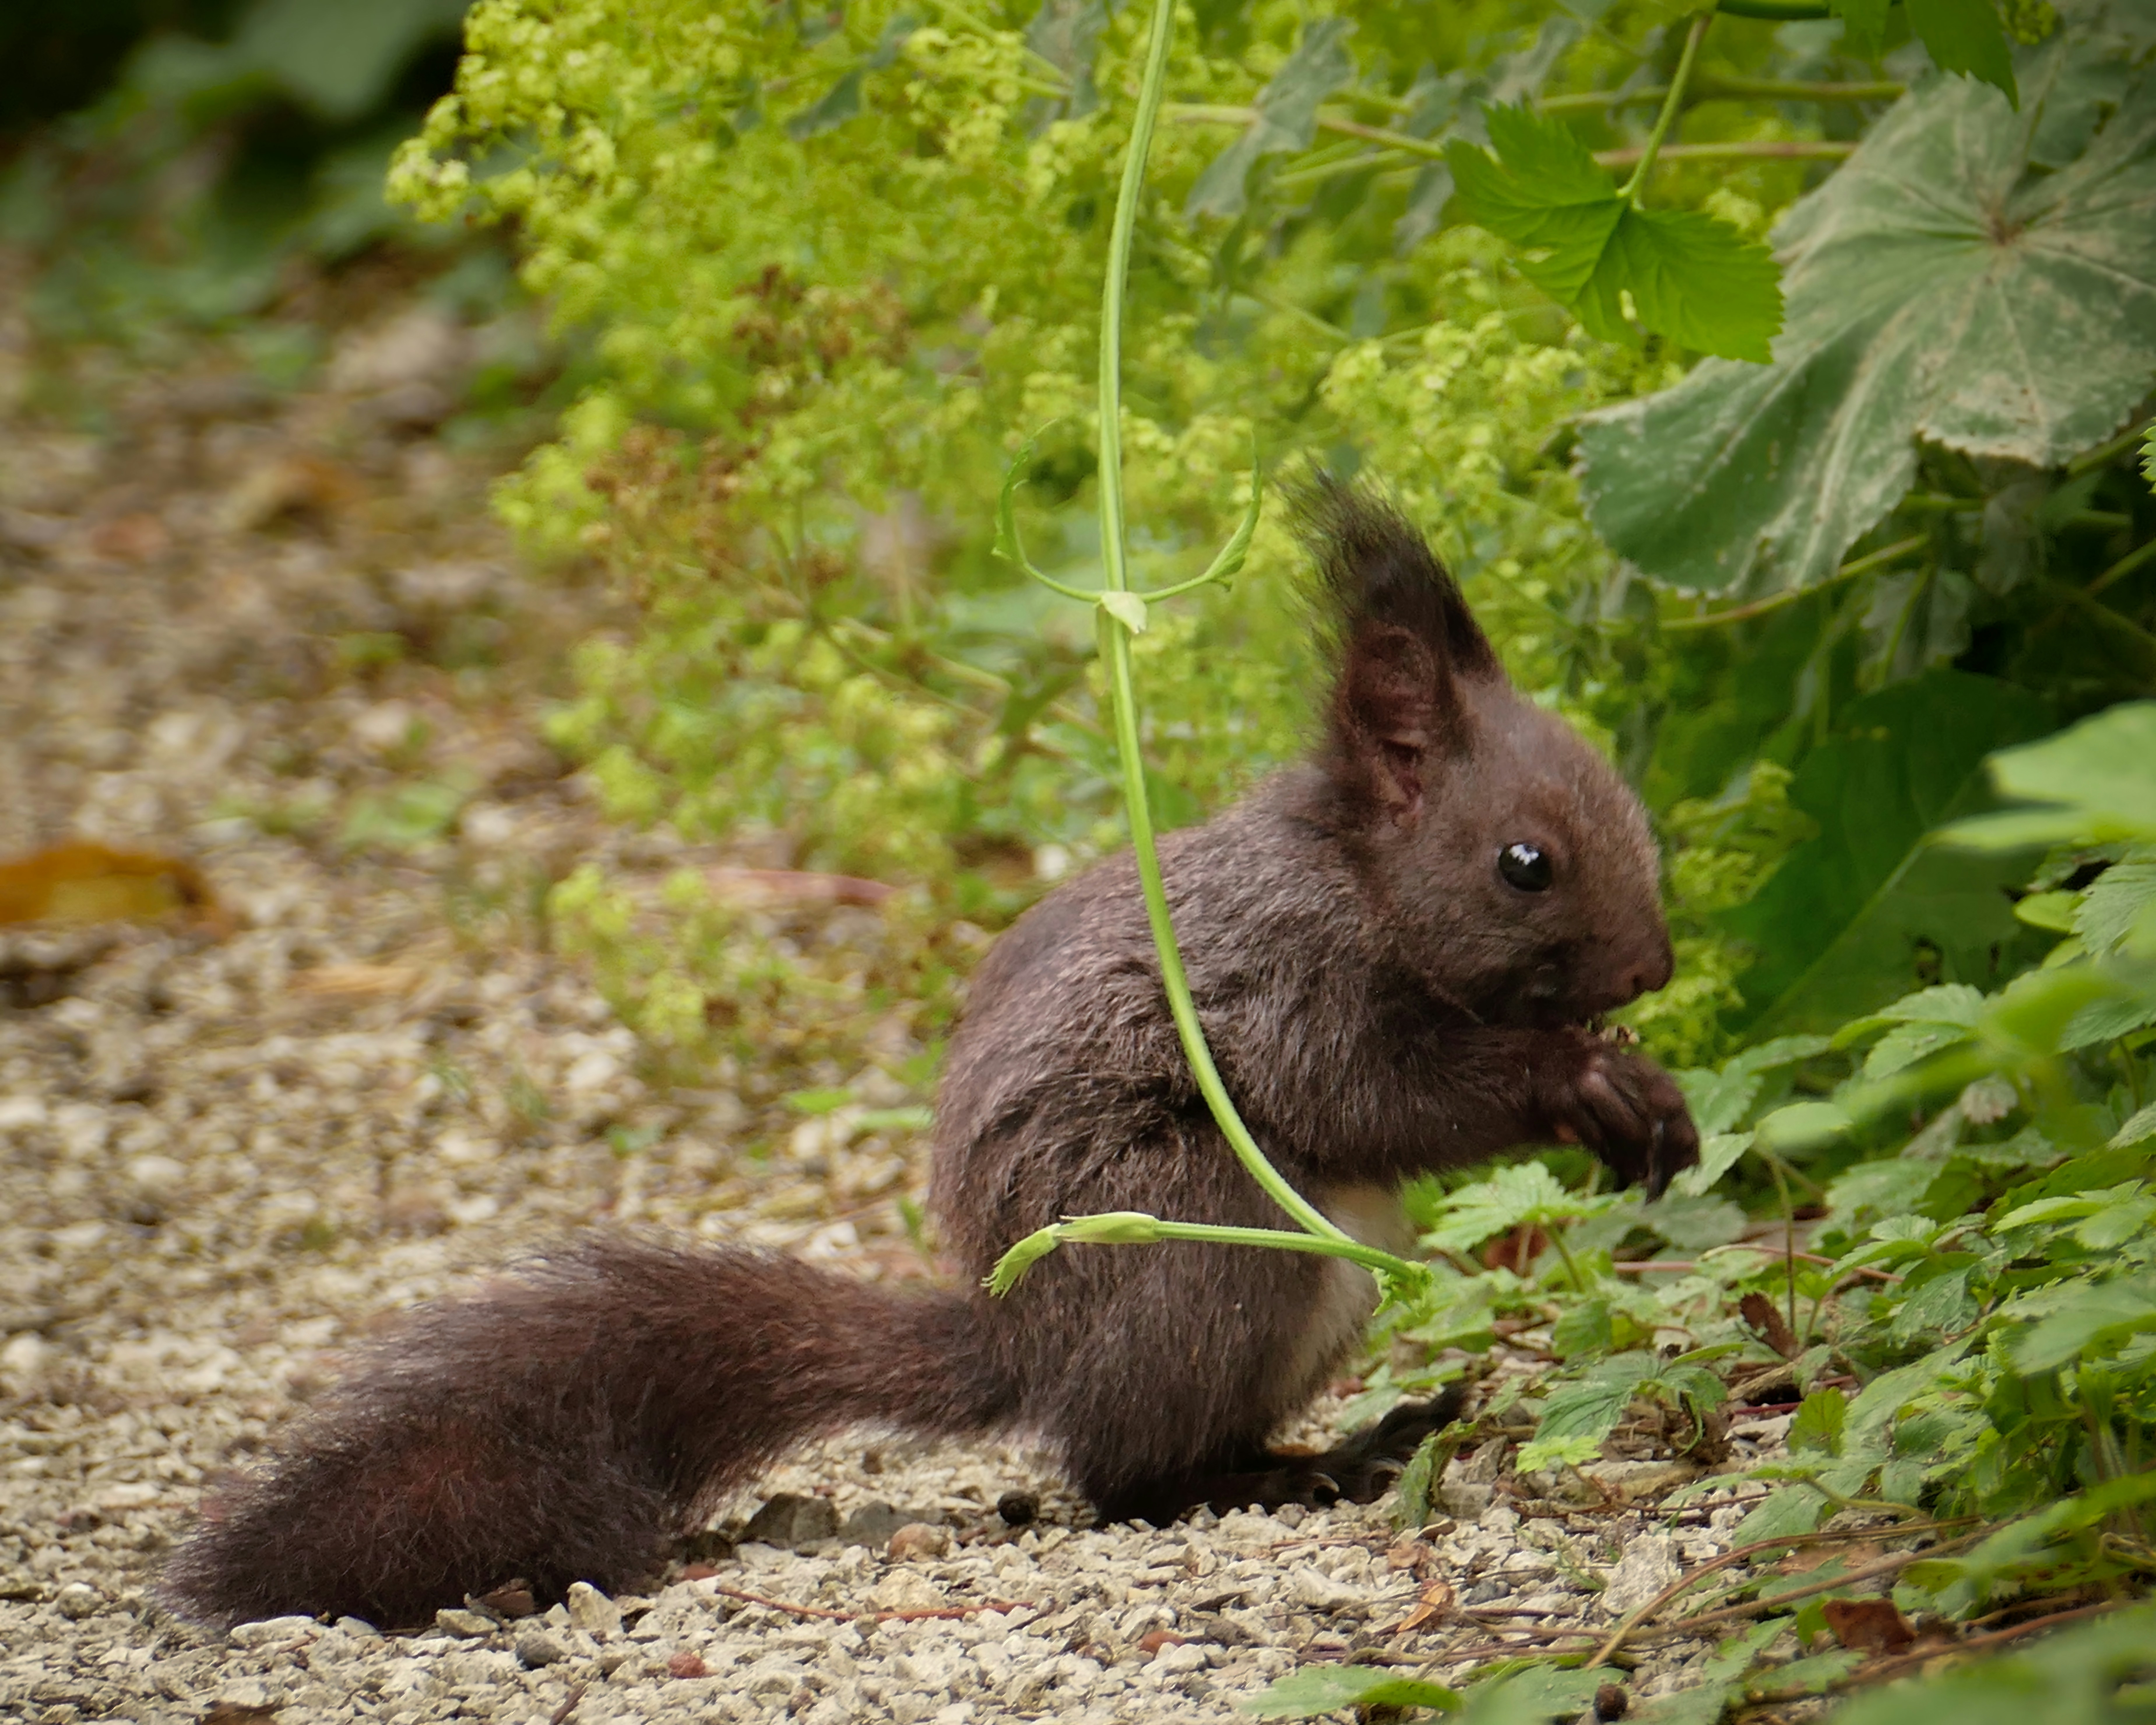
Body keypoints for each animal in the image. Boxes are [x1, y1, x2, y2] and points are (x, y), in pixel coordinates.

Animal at [162, 481, 1698, 1629]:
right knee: (1128, 1475)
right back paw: (1295, 1474)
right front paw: (1582, 1079)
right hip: (1212, 1245)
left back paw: (1349, 1443)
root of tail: (1029, 1340)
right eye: (1523, 862)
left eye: (1630, 804)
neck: (1357, 876)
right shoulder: (1280, 979)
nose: (1652, 969)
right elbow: (1370, 1093)